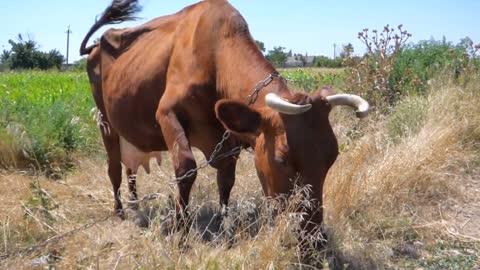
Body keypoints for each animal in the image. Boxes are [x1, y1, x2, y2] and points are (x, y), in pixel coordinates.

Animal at [80, 0, 370, 240]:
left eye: (332, 157)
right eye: (281, 160)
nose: (313, 237)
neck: (214, 61)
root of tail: (97, 46)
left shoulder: (227, 139)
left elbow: (226, 179)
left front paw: (223, 222)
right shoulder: (166, 114)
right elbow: (186, 169)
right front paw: (180, 227)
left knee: (130, 168)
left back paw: (135, 203)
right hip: (105, 121)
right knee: (114, 167)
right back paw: (120, 211)